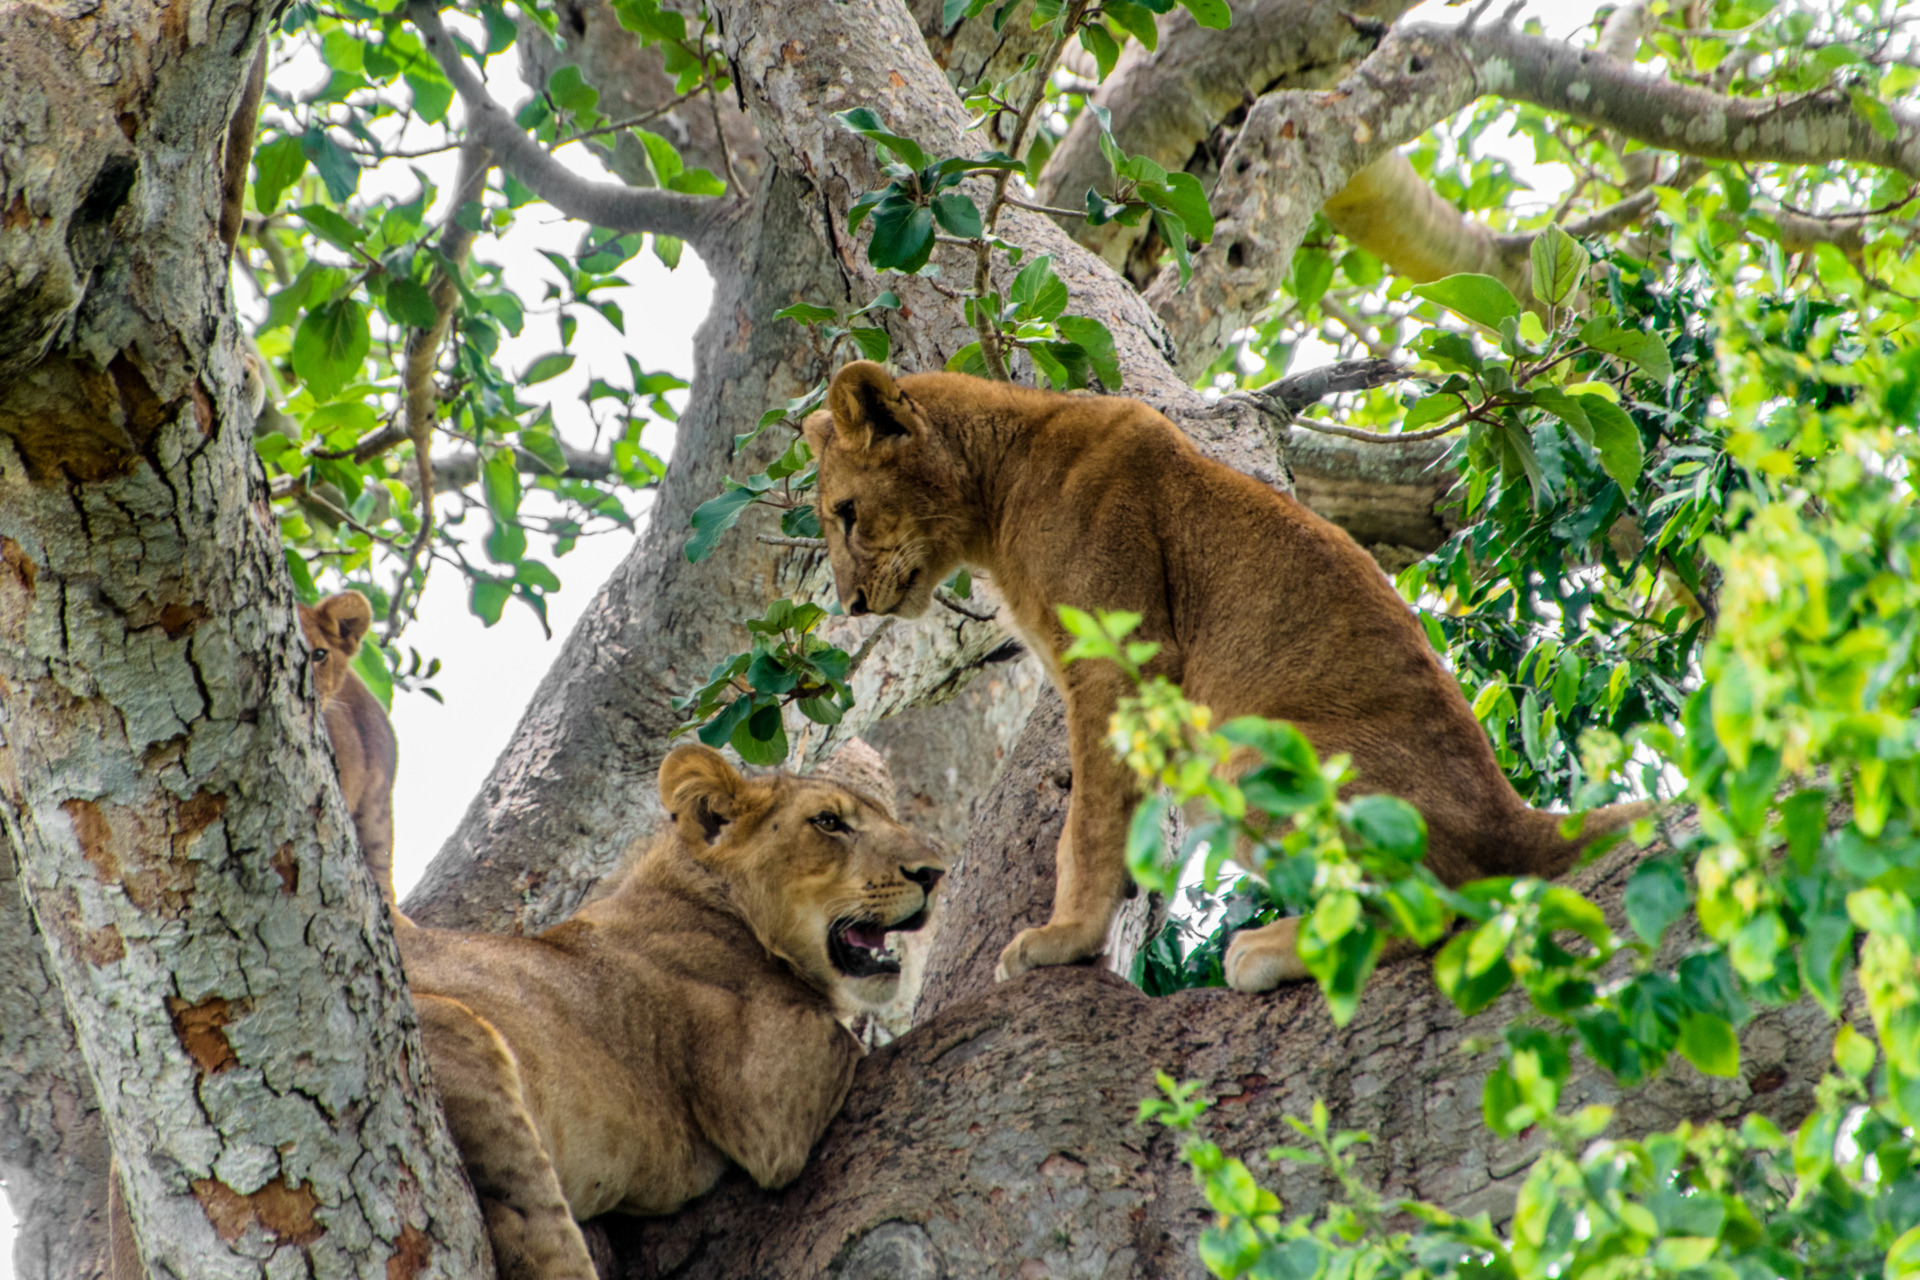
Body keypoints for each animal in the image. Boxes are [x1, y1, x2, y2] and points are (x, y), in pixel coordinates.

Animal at [401, 744, 940, 1274]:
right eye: (828, 822)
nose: (934, 873)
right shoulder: (767, 1109)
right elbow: (848, 1043)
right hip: (457, 1030)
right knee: (533, 1228)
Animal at [802, 364, 1643, 997]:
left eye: (845, 512)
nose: (853, 603)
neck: (998, 482)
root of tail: (1516, 815)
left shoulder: (1119, 661)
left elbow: (1090, 824)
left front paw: (1064, 938)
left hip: (1249, 757)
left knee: (1443, 903)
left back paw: (1275, 951)